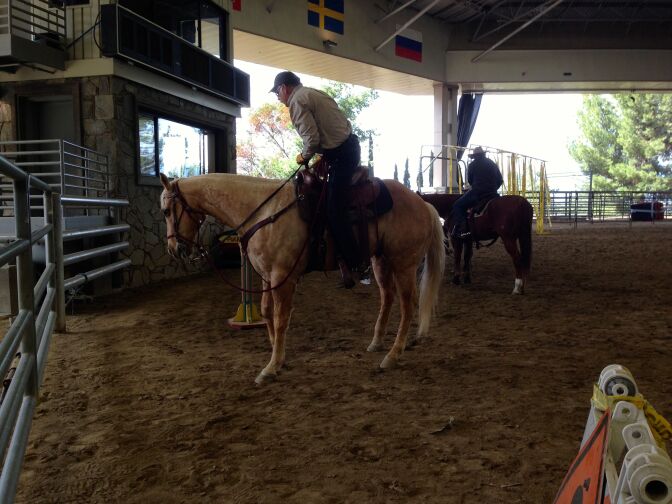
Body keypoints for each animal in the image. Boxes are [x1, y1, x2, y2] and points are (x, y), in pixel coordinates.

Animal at [159, 172, 445, 384]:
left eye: (166, 211)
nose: (174, 249)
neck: (263, 211)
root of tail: (423, 203)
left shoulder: (282, 277)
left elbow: (281, 319)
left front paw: (271, 367)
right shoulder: (267, 276)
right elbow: (267, 313)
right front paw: (279, 358)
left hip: (404, 264)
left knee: (408, 306)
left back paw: (393, 355)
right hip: (380, 261)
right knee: (388, 298)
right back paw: (376, 343)